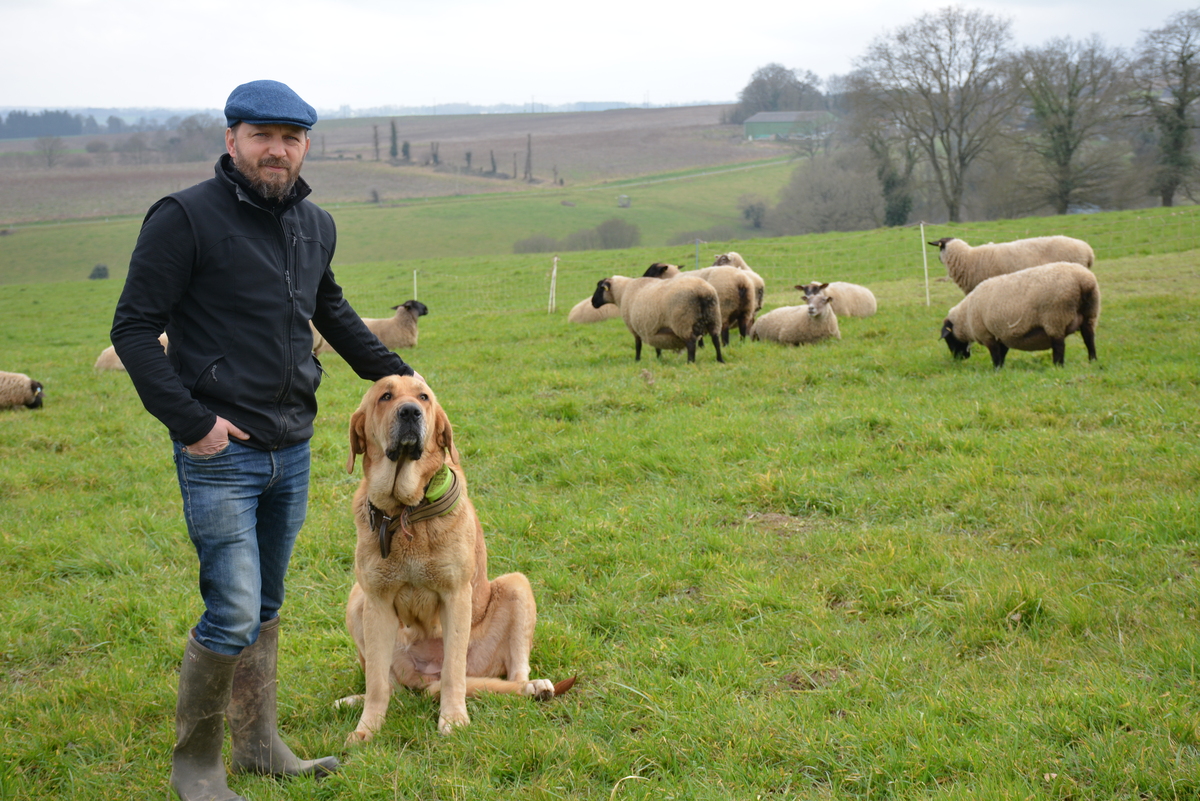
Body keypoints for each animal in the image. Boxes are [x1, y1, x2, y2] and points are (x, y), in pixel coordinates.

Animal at [340, 374, 568, 738]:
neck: (406, 510)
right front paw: (367, 729)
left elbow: (453, 670)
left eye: (424, 397)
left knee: (512, 673)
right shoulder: (376, 601)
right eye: (385, 396)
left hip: (517, 587)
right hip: (357, 600)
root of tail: (423, 676)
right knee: (391, 686)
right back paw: (354, 701)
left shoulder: (456, 596)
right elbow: (376, 681)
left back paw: (533, 688)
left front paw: (453, 718)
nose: (410, 412)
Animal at [590, 273, 720, 364]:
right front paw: (659, 358)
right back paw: (720, 360)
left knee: (691, 343)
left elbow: (638, 345)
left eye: (600, 288)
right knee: (715, 339)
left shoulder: (635, 328)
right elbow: (657, 345)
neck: (621, 293)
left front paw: (637, 360)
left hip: (684, 322)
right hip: (713, 317)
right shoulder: (653, 326)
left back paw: (690, 362)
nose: (593, 302)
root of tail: (702, 291)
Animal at [940, 262, 1099, 369]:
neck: (965, 317)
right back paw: (1092, 360)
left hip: (1055, 318)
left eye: (948, 339)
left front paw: (996, 370)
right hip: (1090, 315)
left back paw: (1057, 366)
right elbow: (1002, 353)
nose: (960, 358)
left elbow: (995, 355)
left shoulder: (987, 334)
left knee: (1059, 346)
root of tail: (1083, 281)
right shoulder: (1002, 334)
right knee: (1089, 339)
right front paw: (1001, 369)